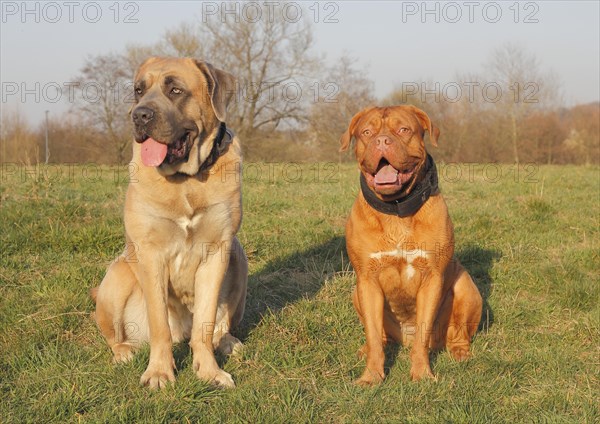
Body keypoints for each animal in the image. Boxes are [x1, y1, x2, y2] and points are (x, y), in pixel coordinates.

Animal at [91, 58, 246, 390]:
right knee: (115, 336)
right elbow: (159, 324)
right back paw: (124, 351)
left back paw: (227, 341)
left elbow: (205, 322)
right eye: (138, 90)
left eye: (175, 90)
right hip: (118, 276)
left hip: (239, 257)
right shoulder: (151, 253)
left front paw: (209, 371)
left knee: (216, 327)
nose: (140, 115)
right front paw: (160, 373)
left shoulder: (218, 250)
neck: (186, 180)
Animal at [342, 105, 482, 384]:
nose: (382, 141)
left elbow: (422, 336)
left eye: (403, 129)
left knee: (457, 334)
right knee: (380, 336)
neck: (396, 210)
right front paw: (371, 377)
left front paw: (422, 375)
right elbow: (373, 336)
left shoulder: (431, 278)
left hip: (467, 289)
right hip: (356, 292)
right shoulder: (367, 280)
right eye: (367, 132)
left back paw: (460, 352)